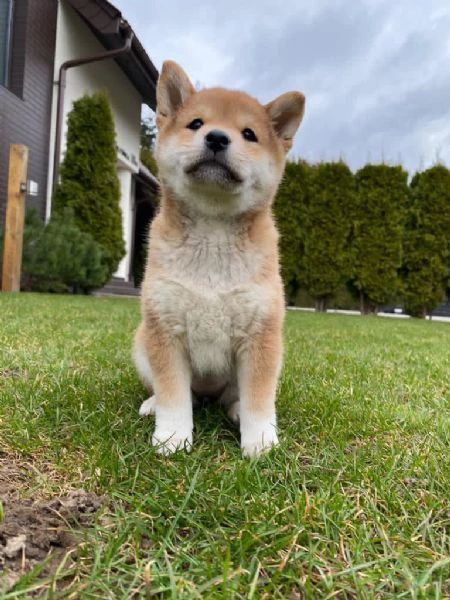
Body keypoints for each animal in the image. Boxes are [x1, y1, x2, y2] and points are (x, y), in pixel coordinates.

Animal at [132, 59, 304, 454]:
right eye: (196, 123)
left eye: (249, 134)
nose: (217, 138)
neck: (212, 236)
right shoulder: (165, 329)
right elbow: (174, 396)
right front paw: (173, 435)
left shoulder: (260, 335)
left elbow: (259, 399)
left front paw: (260, 441)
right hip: (142, 344)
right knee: (184, 395)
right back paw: (153, 405)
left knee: (233, 398)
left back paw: (236, 410)